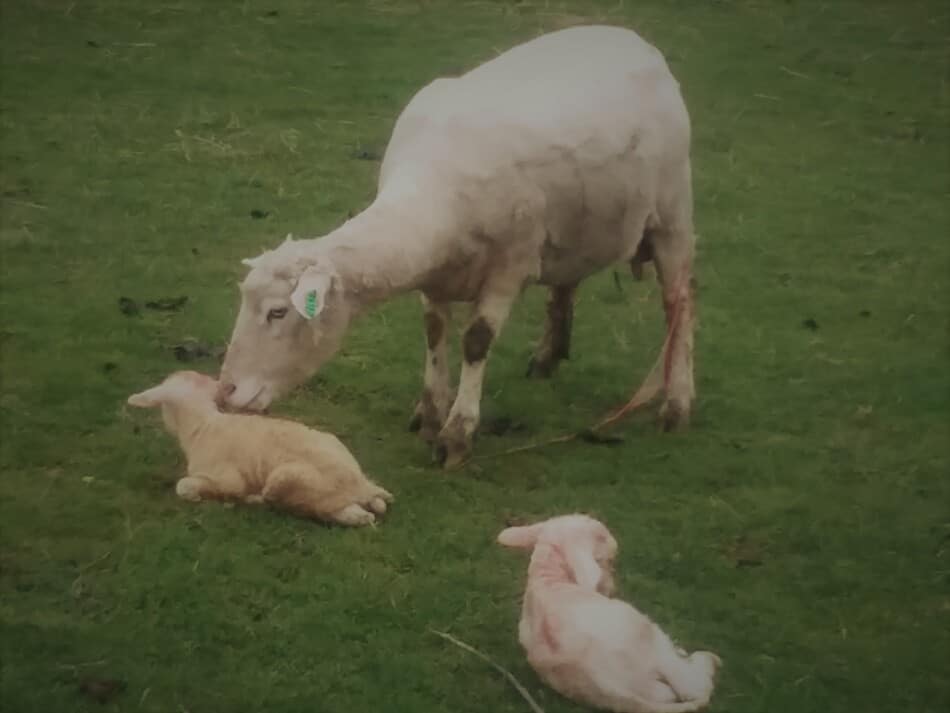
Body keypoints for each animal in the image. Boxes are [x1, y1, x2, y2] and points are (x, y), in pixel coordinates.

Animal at [127, 370, 394, 524]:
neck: (203, 425)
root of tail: (362, 486)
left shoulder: (227, 477)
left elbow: (184, 486)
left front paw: (198, 496)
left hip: (288, 480)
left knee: (312, 508)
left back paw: (254, 499)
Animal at [221, 25, 700, 468]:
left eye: (277, 312)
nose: (224, 393)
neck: (436, 191)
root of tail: (631, 38)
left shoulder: (510, 266)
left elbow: (476, 342)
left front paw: (456, 433)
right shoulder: (435, 276)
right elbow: (434, 333)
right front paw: (430, 413)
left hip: (673, 211)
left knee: (678, 301)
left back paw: (677, 403)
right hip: (582, 224)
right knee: (569, 281)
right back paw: (549, 355)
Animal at [498, 516, 720, 712]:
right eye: (607, 559)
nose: (612, 588)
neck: (548, 578)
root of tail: (606, 686)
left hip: (652, 688)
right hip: (647, 634)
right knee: (689, 686)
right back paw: (707, 660)